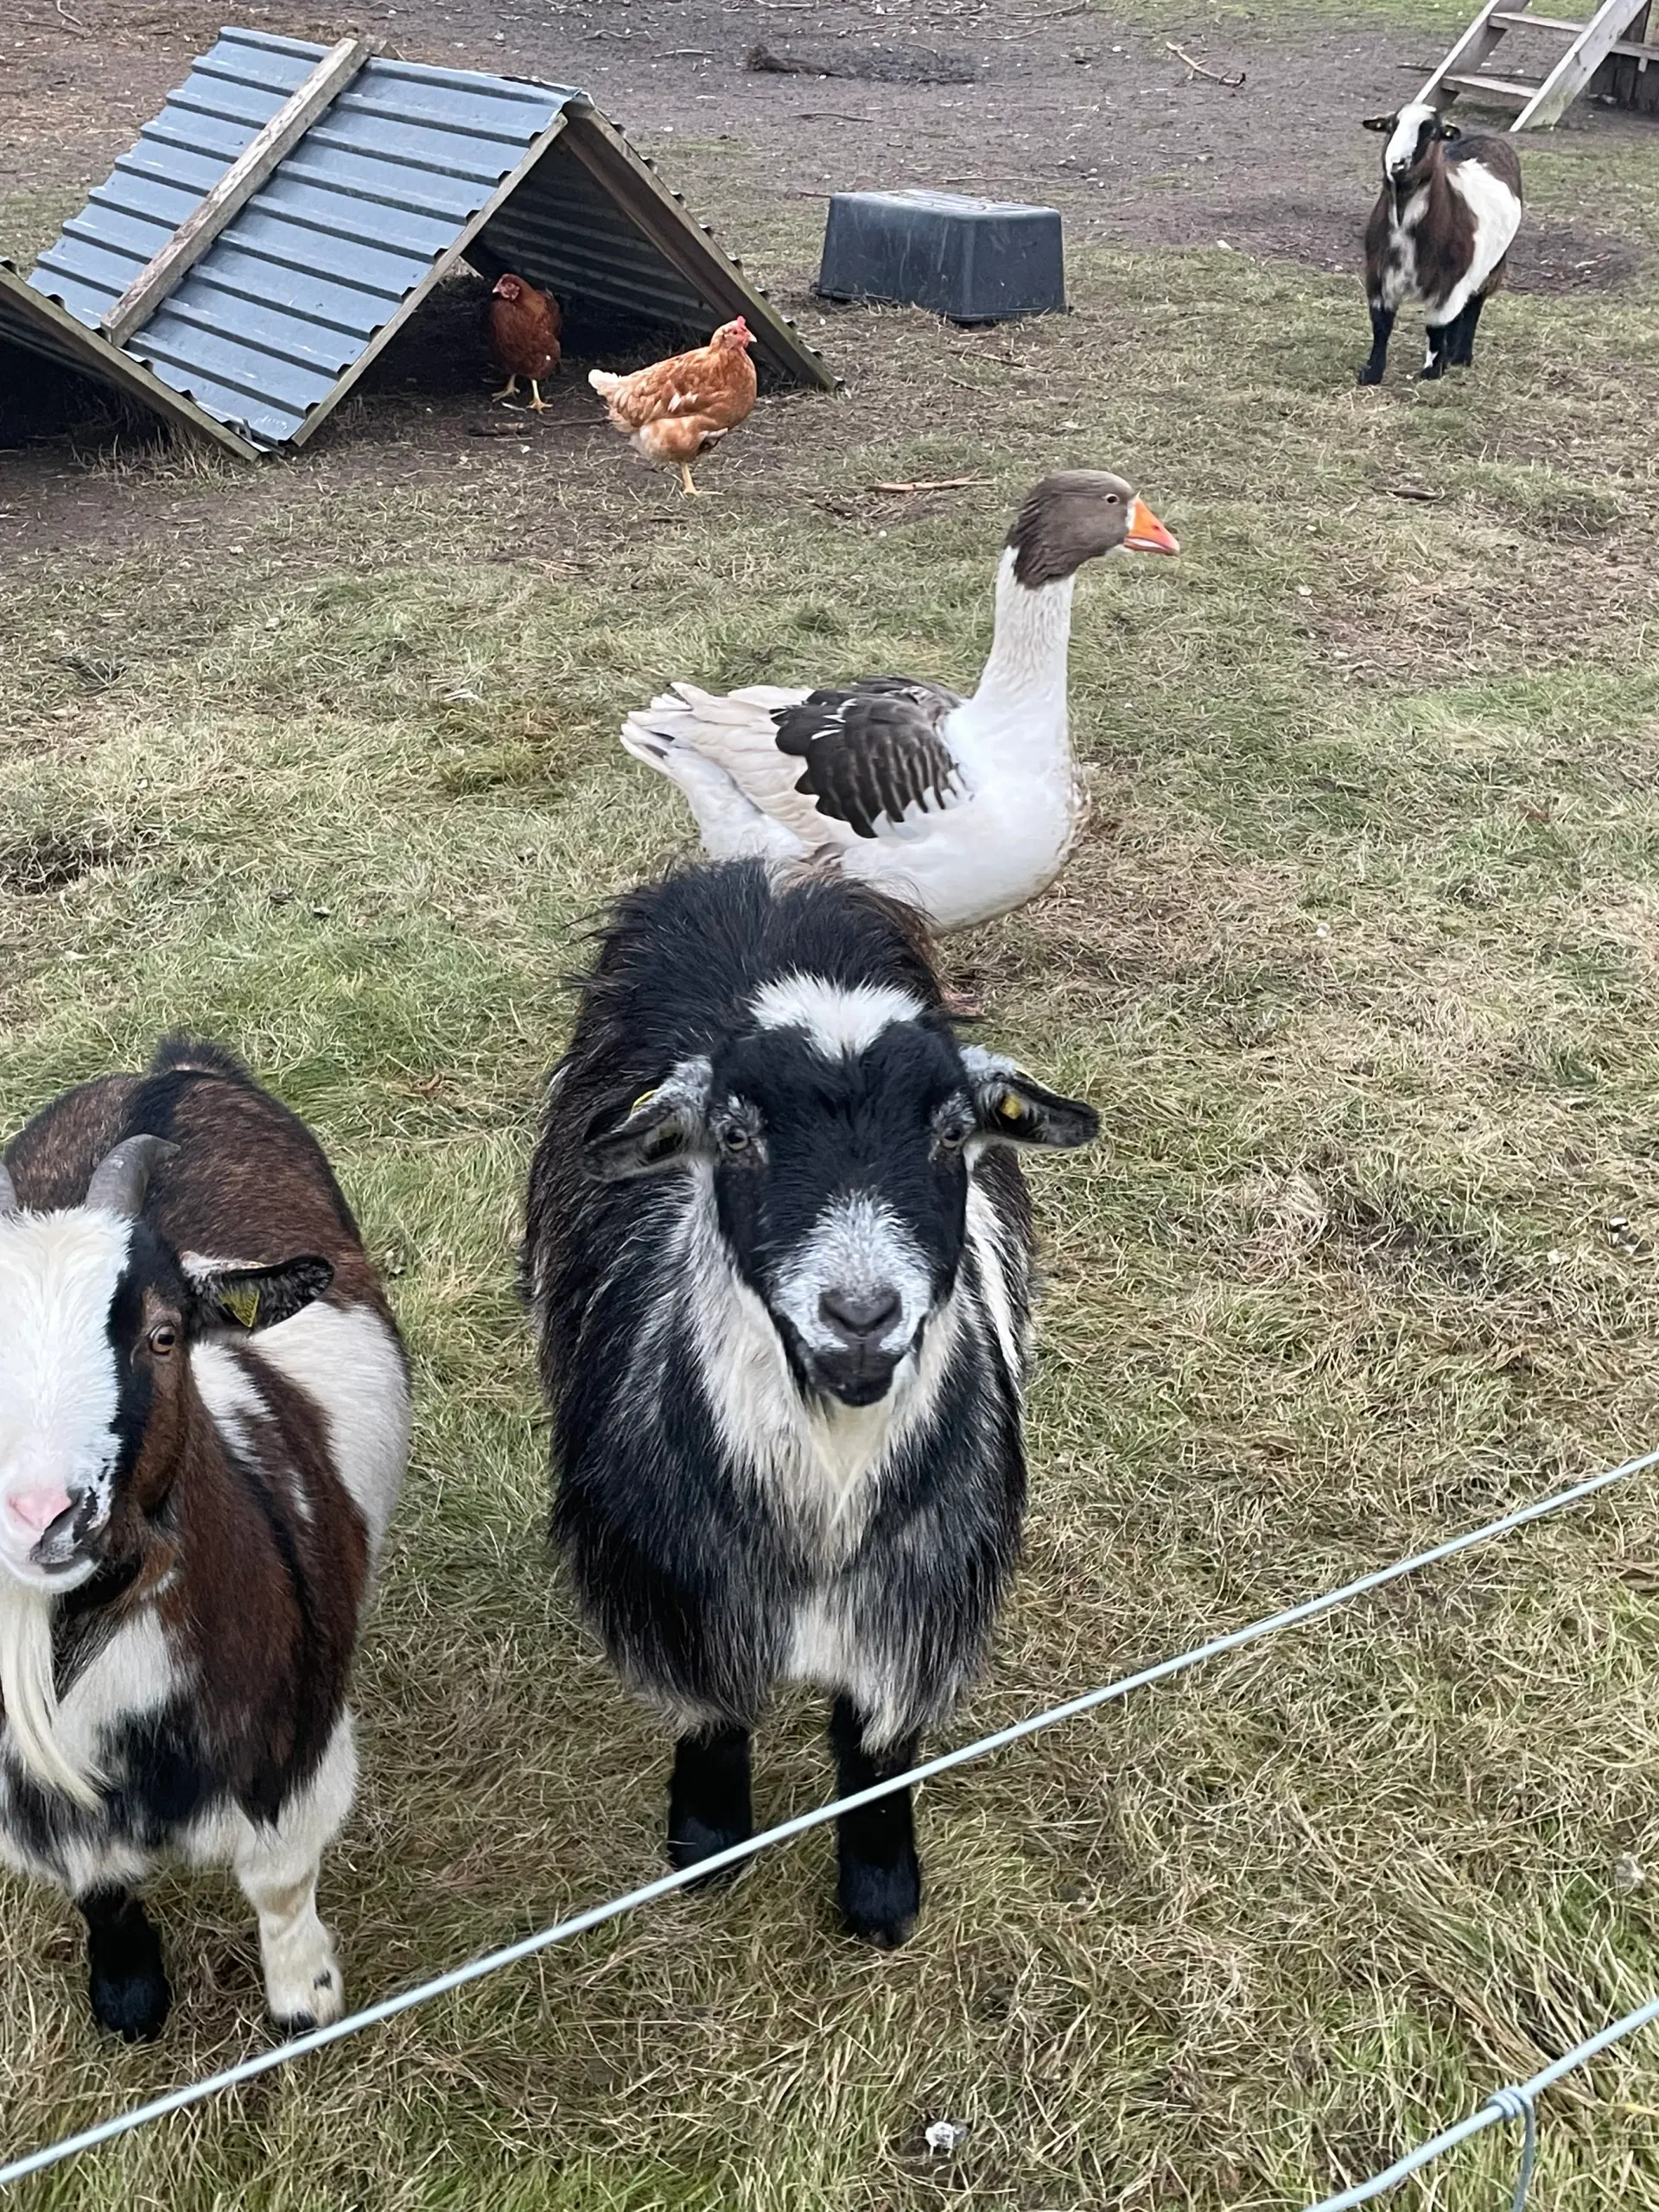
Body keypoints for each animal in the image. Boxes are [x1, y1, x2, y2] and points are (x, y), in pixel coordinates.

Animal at [0, 1035, 413, 2035]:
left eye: (163, 1335)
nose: (46, 1515)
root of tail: (173, 1070)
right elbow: (99, 1886)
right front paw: (128, 1995)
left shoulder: (295, 1753)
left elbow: (279, 1882)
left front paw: (305, 1999)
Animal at [528, 854, 1106, 1946]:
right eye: (735, 1135)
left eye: (953, 1131)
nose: (861, 1314)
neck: (821, 1512)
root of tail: (766, 874)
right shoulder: (680, 1592)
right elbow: (714, 1717)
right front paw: (707, 1843)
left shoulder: (917, 1598)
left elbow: (876, 1750)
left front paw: (881, 1892)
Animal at [1362, 103, 1522, 385]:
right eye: (1391, 127)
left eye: (1431, 133)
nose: (1397, 164)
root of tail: (1489, 138)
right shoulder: (1380, 275)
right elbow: (1381, 325)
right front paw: (1372, 372)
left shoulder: (1449, 282)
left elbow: (1436, 328)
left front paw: (1432, 371)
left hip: (1492, 266)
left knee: (1473, 306)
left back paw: (1460, 357)